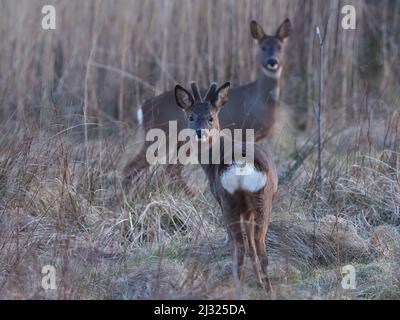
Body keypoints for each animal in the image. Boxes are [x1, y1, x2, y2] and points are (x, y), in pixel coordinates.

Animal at [123, 18, 290, 189]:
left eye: (280, 47)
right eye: (263, 47)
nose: (272, 61)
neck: (261, 100)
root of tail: (144, 107)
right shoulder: (247, 131)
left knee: (166, 170)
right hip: (163, 135)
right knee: (137, 167)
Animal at [175, 81, 278, 288]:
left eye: (211, 117)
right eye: (191, 117)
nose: (200, 132)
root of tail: (241, 165)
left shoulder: (219, 198)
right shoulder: (248, 211)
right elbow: (252, 246)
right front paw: (258, 281)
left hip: (228, 198)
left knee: (238, 245)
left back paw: (236, 284)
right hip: (262, 198)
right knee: (259, 245)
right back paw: (267, 287)